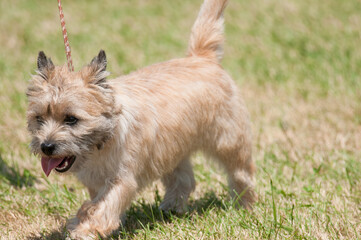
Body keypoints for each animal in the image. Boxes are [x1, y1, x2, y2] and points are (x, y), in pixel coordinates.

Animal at [26, 0, 253, 237]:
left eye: (71, 119)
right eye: (39, 118)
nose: (46, 147)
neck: (103, 141)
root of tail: (201, 57)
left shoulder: (122, 179)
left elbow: (104, 207)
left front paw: (85, 229)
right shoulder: (96, 182)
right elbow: (97, 202)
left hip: (229, 141)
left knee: (240, 173)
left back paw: (243, 205)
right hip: (174, 150)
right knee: (184, 179)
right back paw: (171, 209)